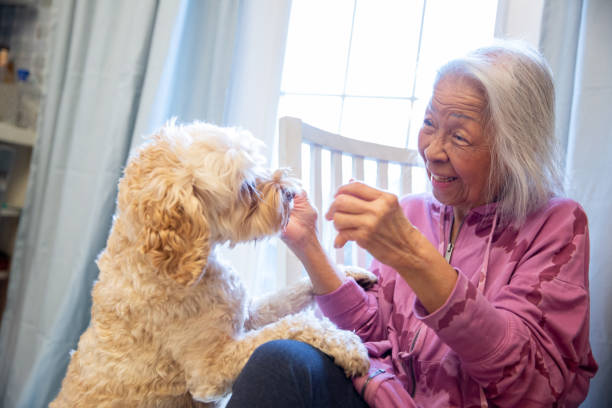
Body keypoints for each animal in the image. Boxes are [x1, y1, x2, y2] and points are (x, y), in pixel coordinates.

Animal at [50, 122, 372, 408]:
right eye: (247, 187)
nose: (291, 193)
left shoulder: (248, 312)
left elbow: (290, 296)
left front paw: (352, 275)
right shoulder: (211, 370)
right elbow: (290, 326)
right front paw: (346, 345)